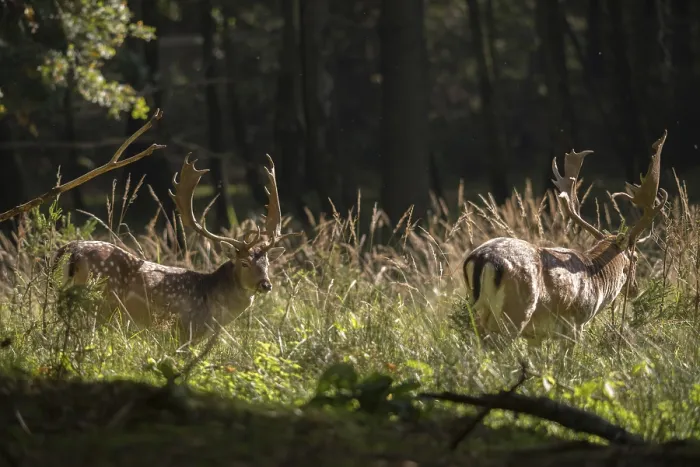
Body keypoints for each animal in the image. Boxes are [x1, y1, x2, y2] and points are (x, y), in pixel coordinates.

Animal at [54, 153, 299, 342]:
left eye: (267, 262)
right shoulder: (182, 330)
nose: (266, 284)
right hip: (98, 300)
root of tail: (72, 249)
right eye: (245, 263)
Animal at [462, 132, 669, 345]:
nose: (635, 289)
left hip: (479, 310)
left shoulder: (535, 334)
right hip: (515, 311)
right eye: (635, 257)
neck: (597, 280)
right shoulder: (575, 323)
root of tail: (482, 258)